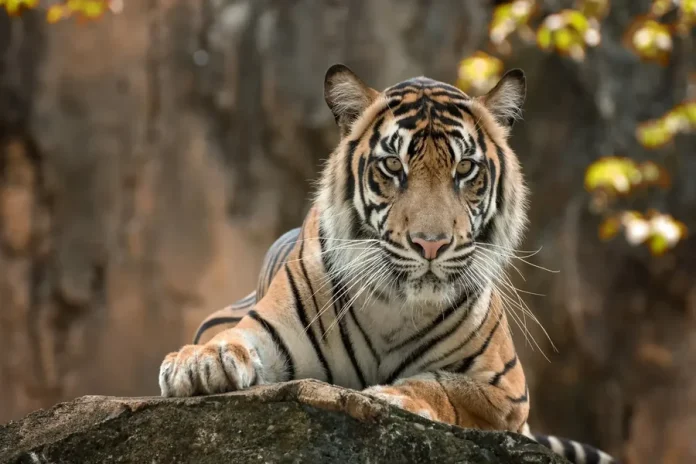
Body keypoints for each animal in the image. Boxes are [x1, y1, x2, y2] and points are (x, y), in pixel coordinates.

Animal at [159, 64, 617, 464]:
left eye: (465, 168)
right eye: (393, 165)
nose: (431, 244)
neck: (394, 305)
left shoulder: (505, 390)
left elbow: (445, 386)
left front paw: (393, 396)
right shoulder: (269, 329)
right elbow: (232, 340)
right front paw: (198, 363)